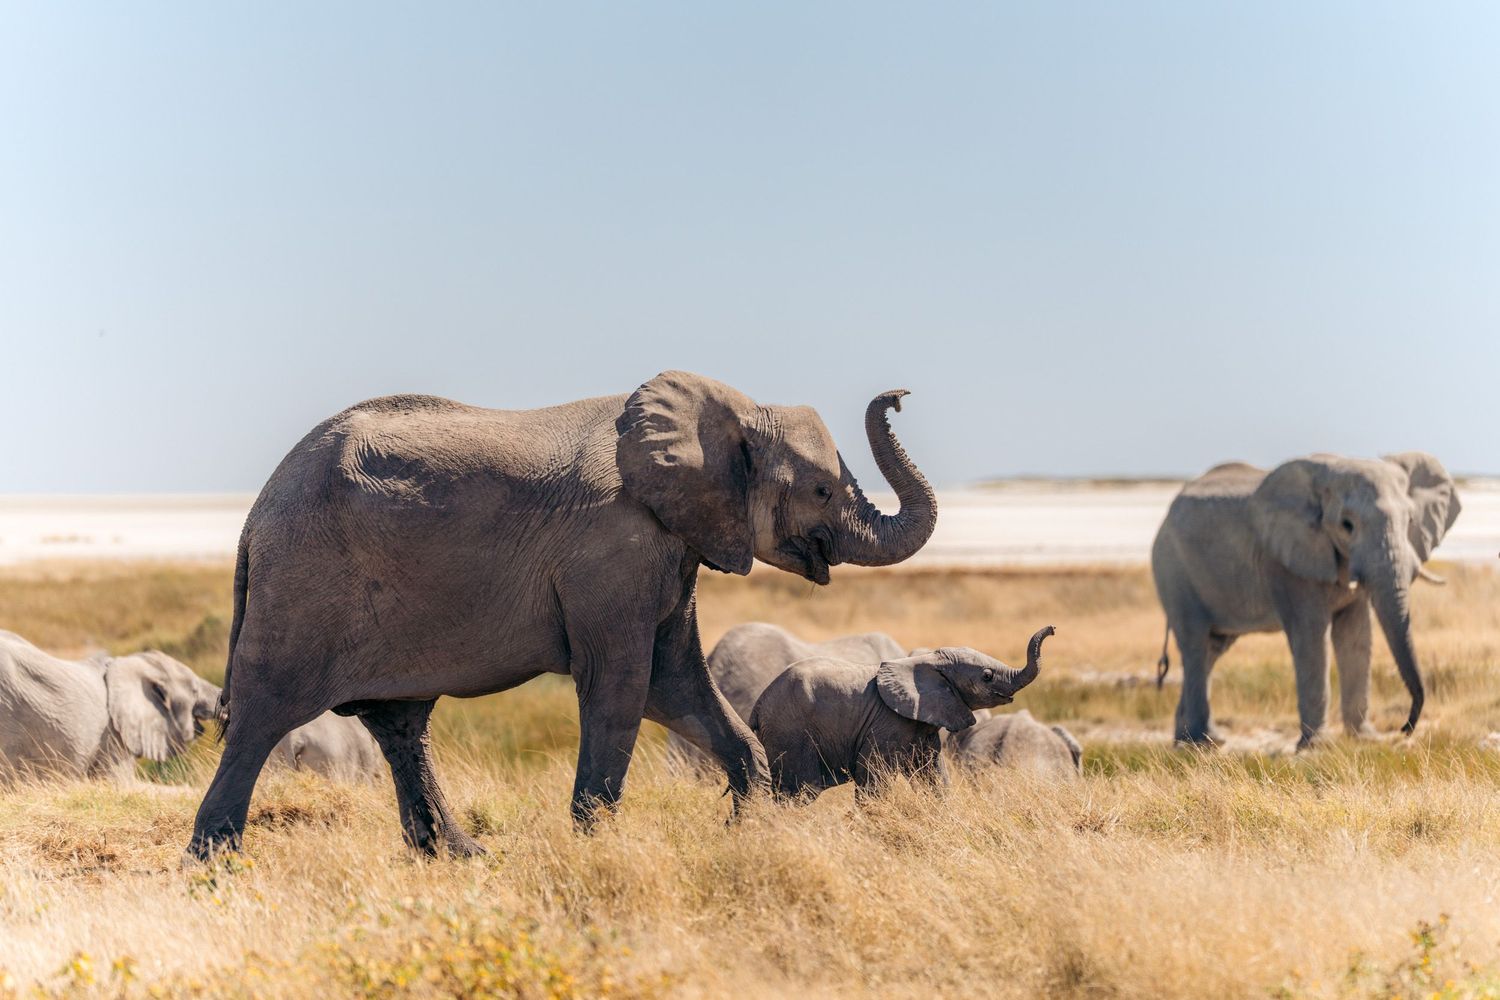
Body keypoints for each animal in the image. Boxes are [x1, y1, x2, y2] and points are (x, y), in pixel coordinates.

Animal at [749, 626, 1053, 801]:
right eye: (987, 676)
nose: (1051, 628)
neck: (928, 661)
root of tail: (757, 707)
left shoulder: (924, 724)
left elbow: (933, 777)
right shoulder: (888, 723)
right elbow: (874, 777)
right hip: (790, 733)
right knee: (799, 792)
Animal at [1151, 453, 1460, 747]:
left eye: (1410, 521)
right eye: (1347, 525)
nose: (1404, 728)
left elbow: (1356, 635)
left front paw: (1364, 739)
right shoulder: (1288, 565)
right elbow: (1311, 635)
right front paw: (1318, 747)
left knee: (1213, 648)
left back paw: (1196, 740)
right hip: (1173, 570)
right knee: (1194, 643)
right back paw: (1201, 743)